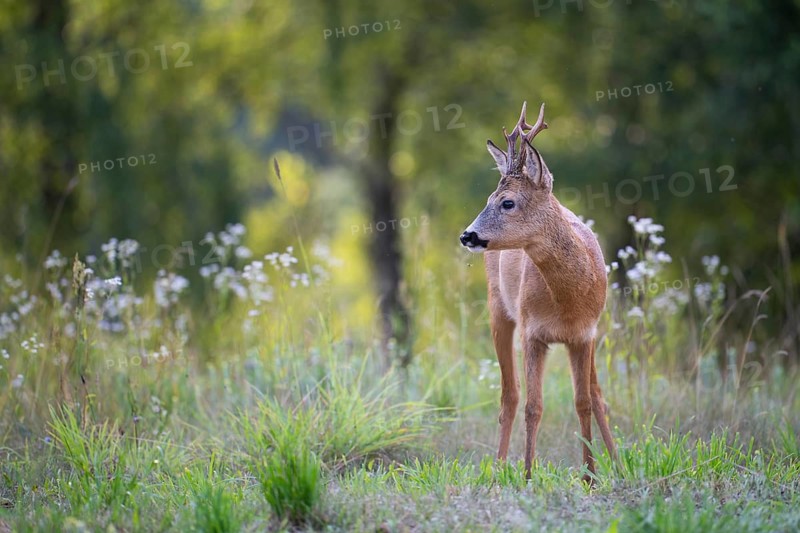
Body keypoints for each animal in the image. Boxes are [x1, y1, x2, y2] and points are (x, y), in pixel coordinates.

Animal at [459, 101, 616, 483]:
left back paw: (619, 462)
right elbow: (534, 405)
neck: (568, 300)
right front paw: (529, 475)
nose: (467, 235)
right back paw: (499, 468)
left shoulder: (584, 334)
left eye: (507, 202)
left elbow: (583, 402)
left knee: (597, 393)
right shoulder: (532, 332)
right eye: (488, 198)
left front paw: (591, 477)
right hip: (498, 309)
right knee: (509, 395)